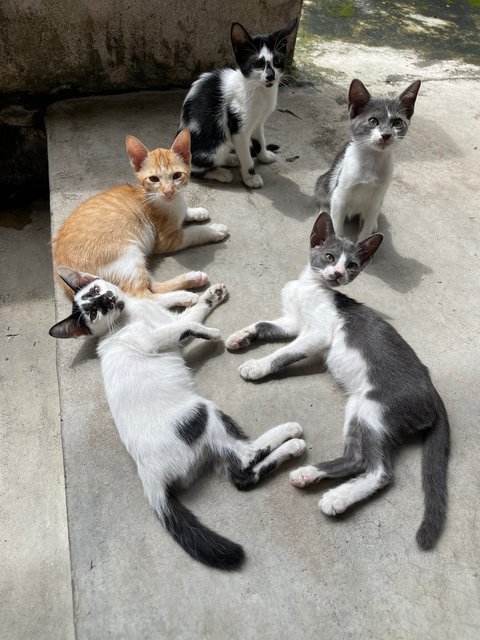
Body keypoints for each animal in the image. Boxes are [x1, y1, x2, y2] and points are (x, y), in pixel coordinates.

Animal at [47, 268, 304, 568]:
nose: (107, 300)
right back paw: (291, 436)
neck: (130, 314)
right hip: (203, 413)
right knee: (244, 458)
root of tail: (150, 477)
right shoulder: (153, 339)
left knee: (242, 476)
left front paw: (211, 295)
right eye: (94, 313)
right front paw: (212, 332)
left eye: (96, 292)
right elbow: (182, 327)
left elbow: (191, 316)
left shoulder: (170, 322)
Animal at [52, 131, 229, 302]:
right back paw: (185, 296)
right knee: (144, 297)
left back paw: (194, 278)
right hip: (128, 256)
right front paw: (214, 230)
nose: (168, 192)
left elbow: (185, 211)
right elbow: (194, 232)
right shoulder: (166, 240)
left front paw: (197, 211)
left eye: (177, 175)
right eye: (154, 179)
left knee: (153, 285)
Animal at [178, 18, 298, 188]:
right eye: (257, 63)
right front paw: (250, 178)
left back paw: (230, 159)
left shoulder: (258, 122)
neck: (257, 91)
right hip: (217, 144)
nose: (270, 76)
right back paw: (220, 172)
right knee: (195, 169)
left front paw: (264, 156)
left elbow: (260, 140)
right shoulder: (238, 128)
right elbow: (246, 156)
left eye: (277, 60)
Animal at [227, 214, 448, 552]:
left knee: (380, 471)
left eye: (352, 265)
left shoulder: (317, 333)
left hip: (375, 409)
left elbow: (284, 353)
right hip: (357, 407)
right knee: (357, 459)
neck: (311, 287)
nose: (338, 274)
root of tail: (433, 393)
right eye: (330, 257)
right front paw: (240, 336)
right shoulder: (293, 322)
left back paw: (338, 497)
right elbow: (264, 324)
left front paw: (258, 366)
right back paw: (310, 474)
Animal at [316, 79, 422, 241]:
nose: (386, 135)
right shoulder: (340, 196)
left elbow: (366, 229)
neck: (372, 160)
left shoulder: (377, 199)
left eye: (397, 122)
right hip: (326, 180)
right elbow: (337, 226)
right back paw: (324, 210)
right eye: (373, 121)